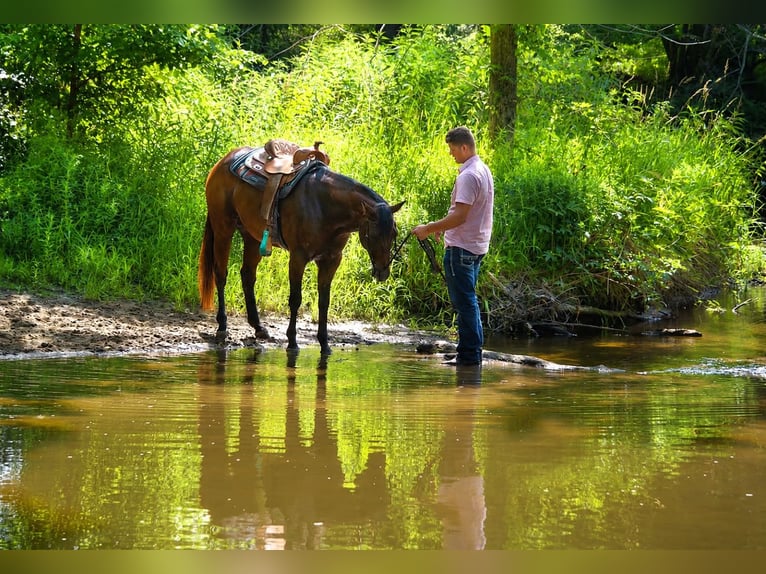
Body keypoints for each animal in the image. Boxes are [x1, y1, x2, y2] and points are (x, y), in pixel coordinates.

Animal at [198, 145, 404, 355]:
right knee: (220, 274)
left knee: (247, 275)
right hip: (223, 228)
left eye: (394, 233)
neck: (325, 206)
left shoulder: (331, 260)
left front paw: (325, 344)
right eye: (372, 235)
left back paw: (258, 327)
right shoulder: (298, 257)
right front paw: (292, 342)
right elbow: (295, 298)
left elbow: (324, 301)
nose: (382, 272)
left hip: (252, 237)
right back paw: (222, 327)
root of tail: (224, 160)